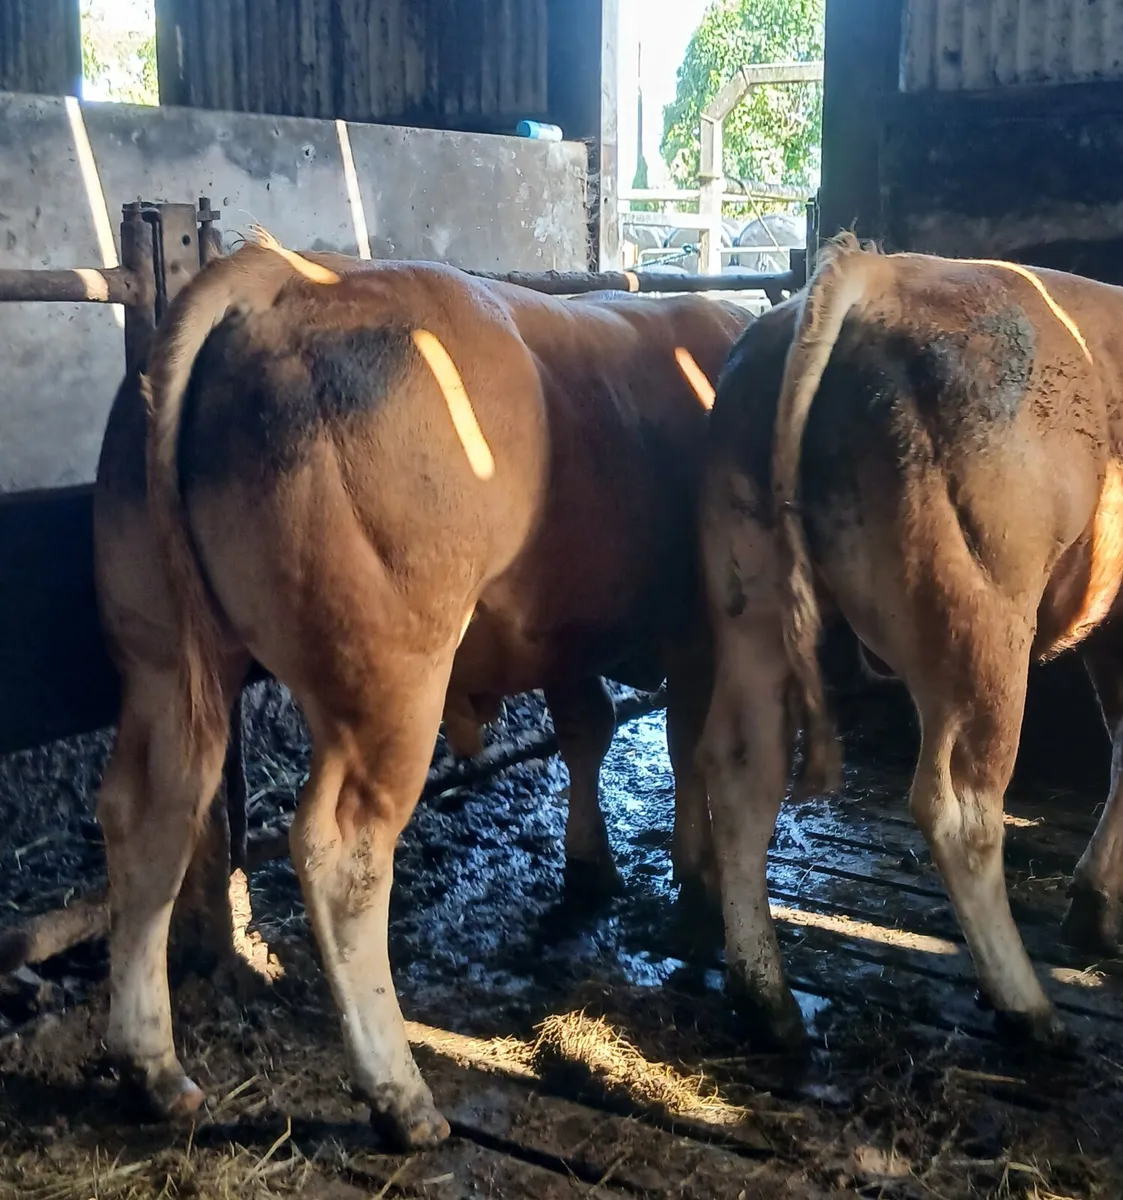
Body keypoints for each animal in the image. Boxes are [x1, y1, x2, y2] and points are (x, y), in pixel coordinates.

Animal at [90, 235, 749, 1147]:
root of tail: (278, 275)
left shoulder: (563, 633)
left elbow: (589, 727)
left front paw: (592, 864)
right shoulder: (699, 633)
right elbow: (687, 746)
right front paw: (697, 877)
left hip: (156, 647)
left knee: (149, 814)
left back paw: (153, 1068)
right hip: (389, 680)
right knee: (342, 850)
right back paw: (399, 1094)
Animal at [698, 231, 1123, 1051]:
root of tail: (871, 273)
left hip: (749, 607)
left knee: (742, 771)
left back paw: (765, 997)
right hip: (983, 629)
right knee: (958, 809)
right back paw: (1028, 1007)